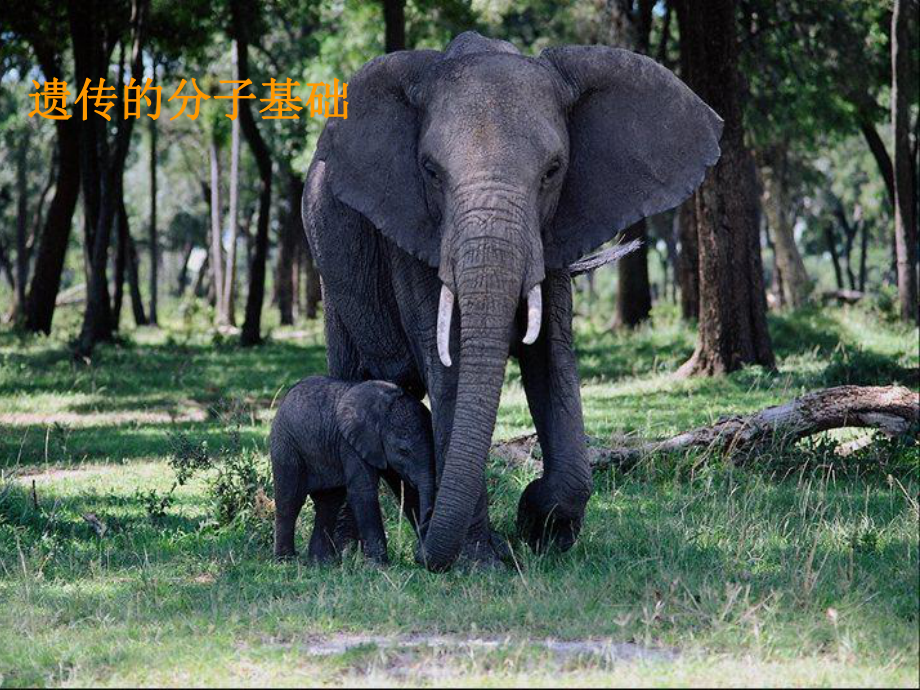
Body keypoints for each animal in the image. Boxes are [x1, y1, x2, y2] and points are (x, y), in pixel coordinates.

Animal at [272, 376, 436, 564]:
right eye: (403, 450)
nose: (417, 553)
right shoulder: (351, 443)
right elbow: (363, 491)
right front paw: (378, 565)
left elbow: (407, 492)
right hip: (286, 446)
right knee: (290, 499)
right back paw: (286, 560)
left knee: (328, 503)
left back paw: (322, 563)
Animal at [302, 30, 720, 568]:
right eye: (430, 171)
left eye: (552, 171)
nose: (426, 558)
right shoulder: (414, 233)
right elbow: (452, 366)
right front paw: (482, 561)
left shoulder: (554, 232)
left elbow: (551, 358)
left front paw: (540, 527)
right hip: (332, 271)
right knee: (356, 377)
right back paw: (357, 550)